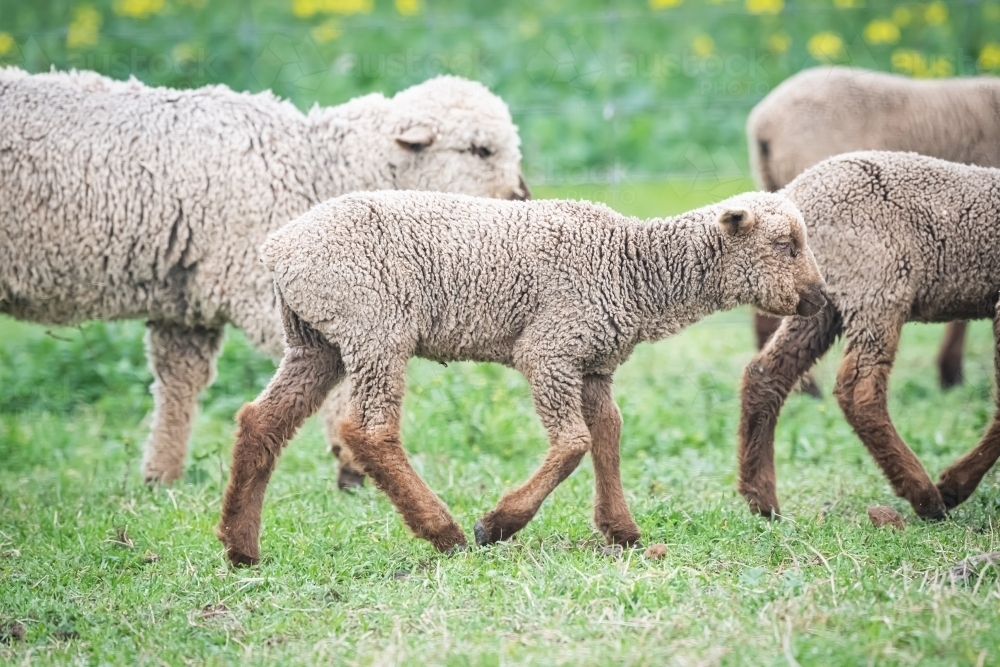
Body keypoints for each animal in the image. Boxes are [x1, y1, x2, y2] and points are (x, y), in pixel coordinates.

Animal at [0, 66, 528, 484]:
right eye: (480, 150)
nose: (520, 198)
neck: (316, 167)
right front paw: (353, 466)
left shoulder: (184, 302)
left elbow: (178, 382)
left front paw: (160, 477)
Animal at [214, 189, 827, 564]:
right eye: (784, 244)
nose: (821, 299)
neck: (635, 268)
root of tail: (278, 248)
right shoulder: (549, 350)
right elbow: (575, 442)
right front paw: (499, 524)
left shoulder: (592, 365)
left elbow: (608, 435)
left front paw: (622, 532)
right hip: (374, 326)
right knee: (367, 430)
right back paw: (445, 532)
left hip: (316, 341)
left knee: (261, 420)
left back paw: (240, 548)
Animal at [737, 150, 1000, 521]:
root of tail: (795, 196)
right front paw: (953, 487)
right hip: (877, 282)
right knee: (858, 389)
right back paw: (925, 496)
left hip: (823, 302)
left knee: (766, 373)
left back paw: (761, 500)